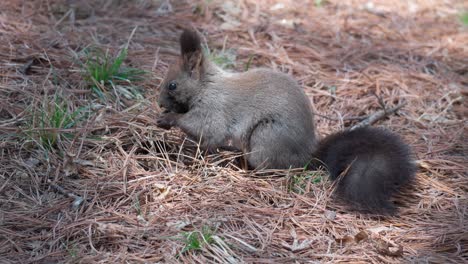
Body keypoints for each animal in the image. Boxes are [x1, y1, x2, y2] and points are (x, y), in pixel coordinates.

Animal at [157, 29, 416, 213]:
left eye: (172, 85)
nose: (159, 103)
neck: (205, 86)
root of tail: (308, 155)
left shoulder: (214, 109)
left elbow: (206, 129)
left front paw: (169, 119)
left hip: (267, 137)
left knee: (271, 167)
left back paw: (243, 166)